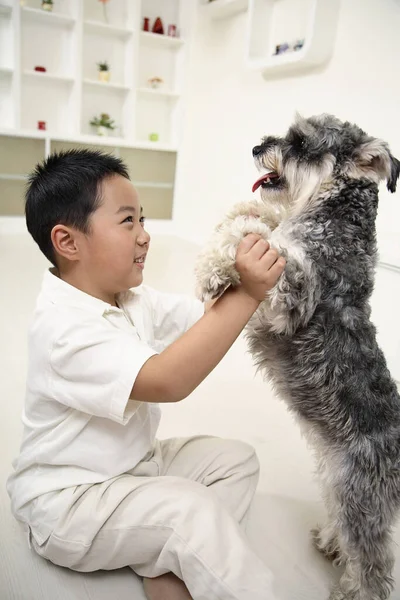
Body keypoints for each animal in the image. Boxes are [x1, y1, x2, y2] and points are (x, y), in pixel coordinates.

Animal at [195, 113, 400, 600]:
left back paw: (352, 588)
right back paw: (329, 543)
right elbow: (264, 218)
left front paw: (214, 266)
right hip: (336, 485)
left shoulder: (294, 292)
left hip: (360, 500)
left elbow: (266, 241)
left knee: (374, 566)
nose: (257, 147)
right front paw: (236, 217)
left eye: (302, 143)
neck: (334, 222)